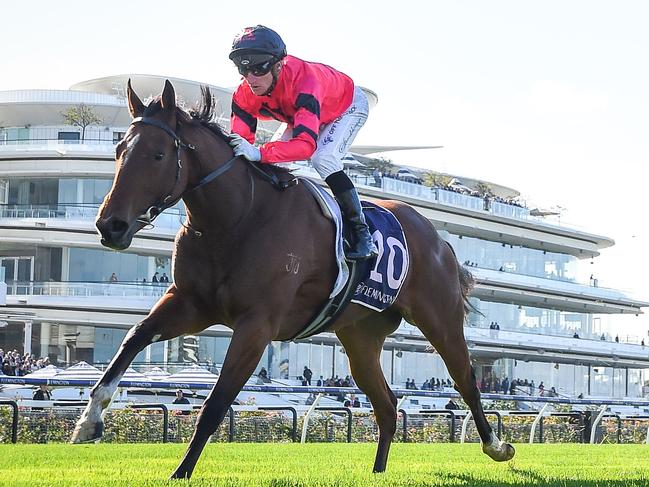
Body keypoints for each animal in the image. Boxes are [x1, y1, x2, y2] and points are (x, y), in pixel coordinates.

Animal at [71, 80, 512, 480]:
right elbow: (134, 337)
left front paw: (180, 472)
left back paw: (497, 445)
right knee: (386, 405)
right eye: (118, 151)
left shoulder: (257, 324)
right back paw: (378, 471)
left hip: (439, 319)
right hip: (360, 338)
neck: (236, 216)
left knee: (465, 380)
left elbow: (215, 403)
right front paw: (89, 419)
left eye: (159, 154)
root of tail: (439, 238)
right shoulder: (190, 304)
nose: (111, 226)